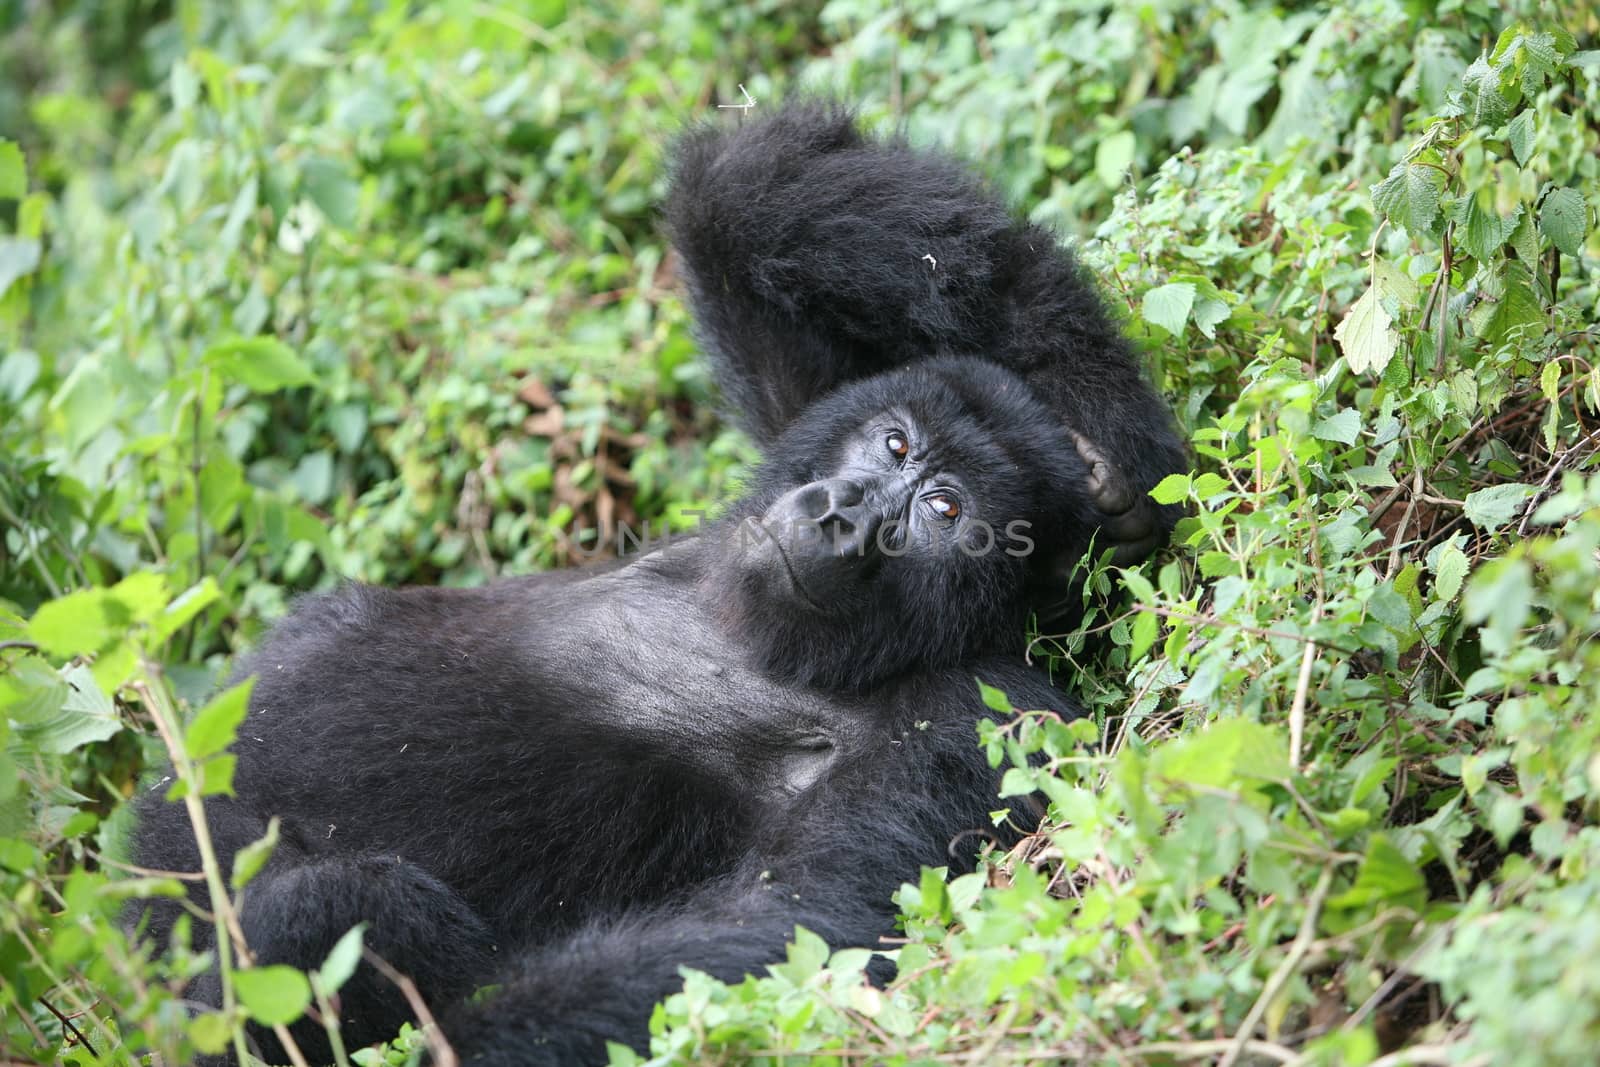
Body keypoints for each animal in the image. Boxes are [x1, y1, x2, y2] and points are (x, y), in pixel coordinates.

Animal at [131, 102, 1190, 1067]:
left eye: (941, 510)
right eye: (892, 444)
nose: (844, 512)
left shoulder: (978, 710)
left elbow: (787, 928)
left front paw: (458, 1042)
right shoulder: (801, 416)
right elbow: (748, 199)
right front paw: (1106, 444)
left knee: (328, 910)